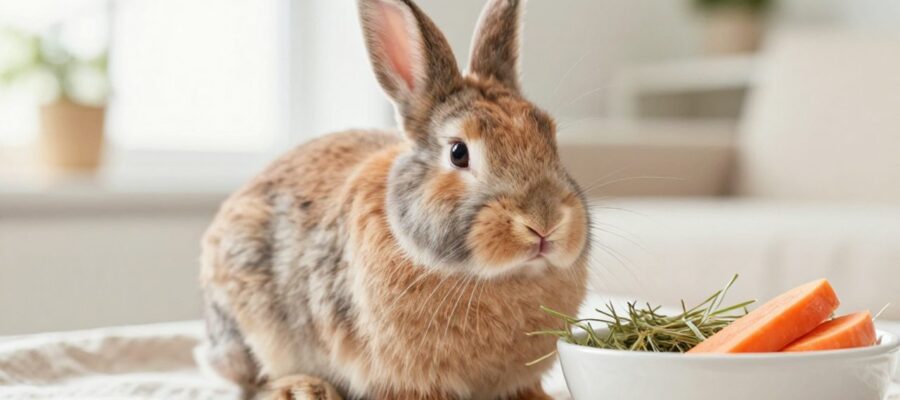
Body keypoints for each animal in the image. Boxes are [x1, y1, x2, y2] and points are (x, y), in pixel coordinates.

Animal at [199, 0, 590, 399]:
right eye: (458, 153)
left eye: (550, 137)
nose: (544, 223)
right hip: (253, 326)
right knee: (254, 378)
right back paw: (305, 388)